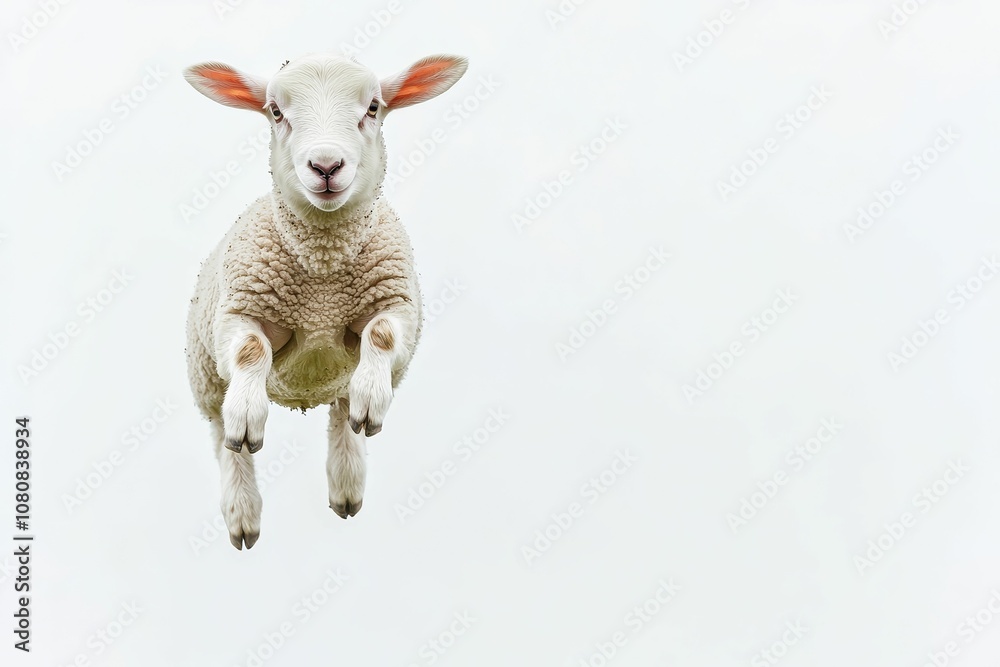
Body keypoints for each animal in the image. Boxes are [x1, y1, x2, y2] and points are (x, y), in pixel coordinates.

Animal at [182, 52, 468, 549]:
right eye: (276, 111)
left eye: (373, 107)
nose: (326, 165)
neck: (322, 273)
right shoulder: (237, 313)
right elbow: (250, 350)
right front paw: (248, 415)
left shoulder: (397, 302)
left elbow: (382, 333)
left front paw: (372, 397)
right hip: (206, 376)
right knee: (223, 436)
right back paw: (242, 511)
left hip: (338, 374)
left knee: (343, 410)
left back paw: (348, 479)